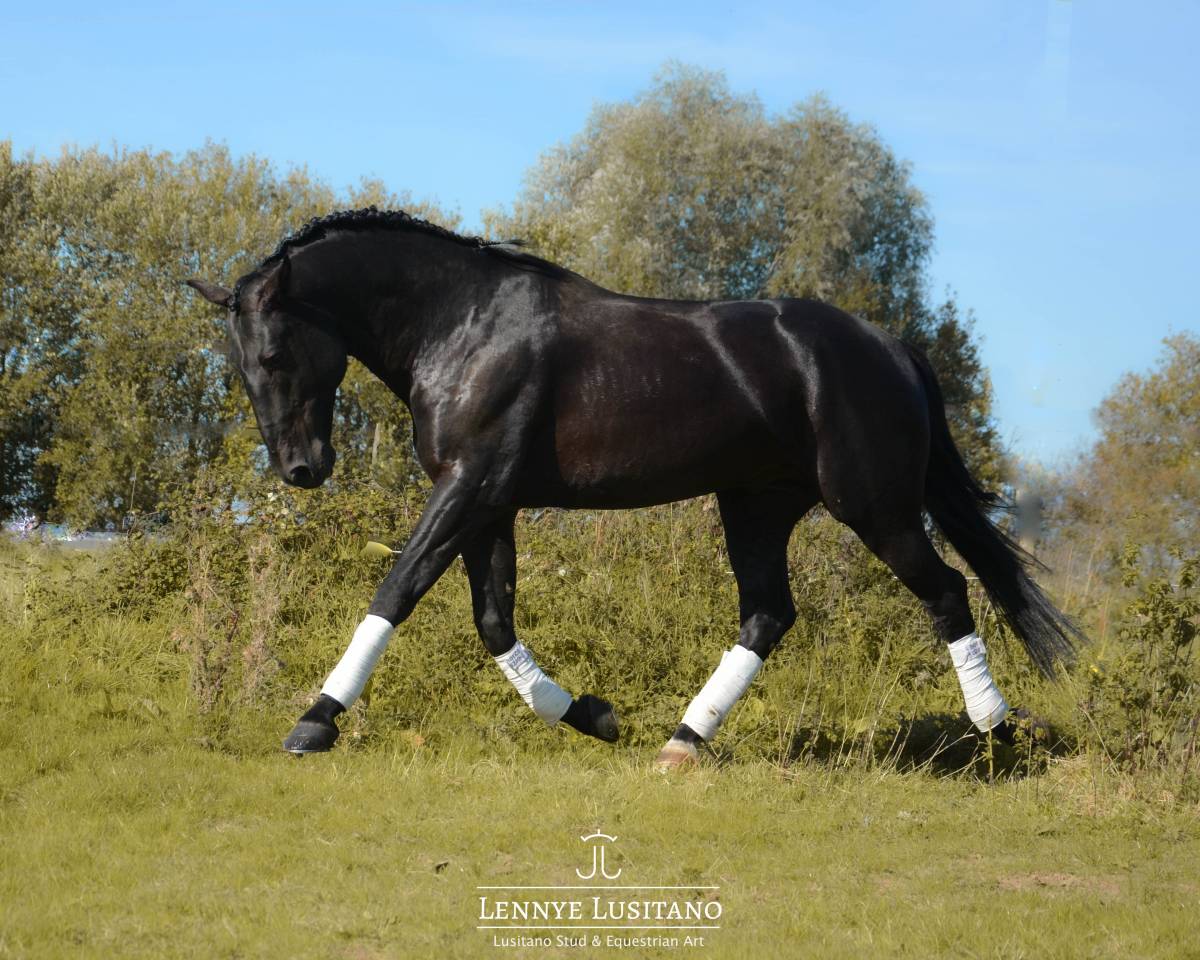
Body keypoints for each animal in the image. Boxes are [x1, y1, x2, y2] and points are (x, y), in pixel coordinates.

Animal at [188, 207, 1080, 767]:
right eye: (239, 365)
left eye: (273, 354)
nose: (301, 470)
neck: (463, 326)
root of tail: (890, 348)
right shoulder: (489, 501)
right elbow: (492, 622)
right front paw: (592, 715)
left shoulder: (470, 488)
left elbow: (396, 590)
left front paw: (314, 723)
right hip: (756, 506)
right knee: (769, 614)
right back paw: (682, 741)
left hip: (874, 507)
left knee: (948, 593)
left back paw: (997, 734)